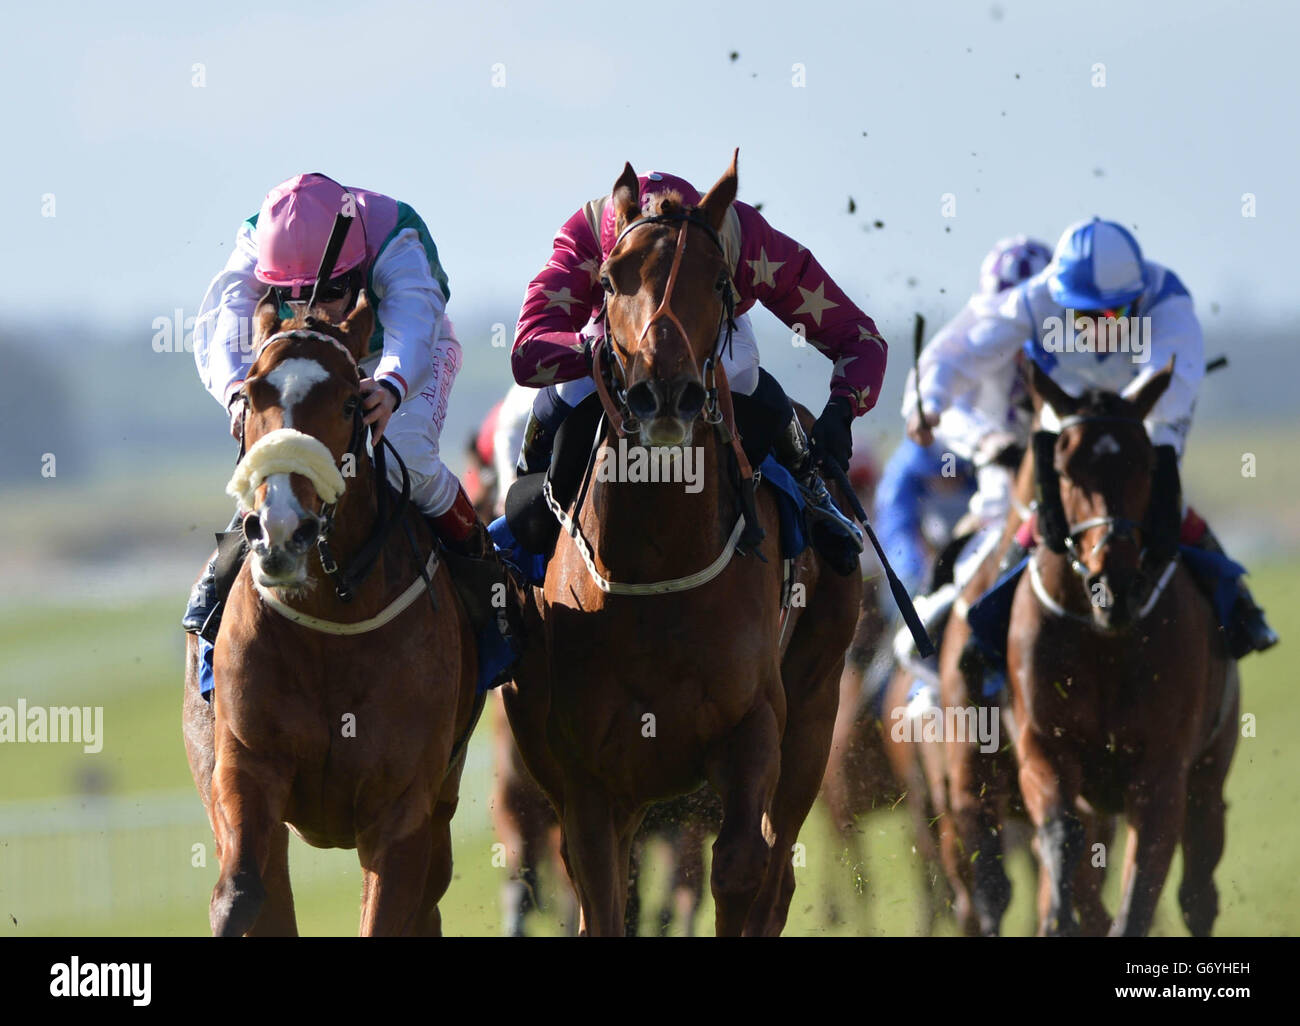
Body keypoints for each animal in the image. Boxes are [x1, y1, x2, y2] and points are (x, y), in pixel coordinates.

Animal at [184, 289, 483, 936]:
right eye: (250, 395)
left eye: (350, 402)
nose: (280, 530)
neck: (332, 626)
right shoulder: (245, 766)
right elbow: (239, 895)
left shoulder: (403, 809)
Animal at [504, 154, 863, 936]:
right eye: (612, 278)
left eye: (720, 281)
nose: (662, 393)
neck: (656, 564)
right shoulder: (587, 783)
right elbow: (604, 900)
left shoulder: (755, 728)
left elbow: (741, 869)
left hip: (816, 711)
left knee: (778, 872)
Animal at [1008, 361, 1232, 936]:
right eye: (1065, 468)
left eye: (1146, 464)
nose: (1117, 586)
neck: (1101, 640)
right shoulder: (1043, 749)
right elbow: (1061, 841)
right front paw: (1058, 916)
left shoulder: (1163, 771)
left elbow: (1141, 891)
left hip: (1209, 771)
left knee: (1198, 889)